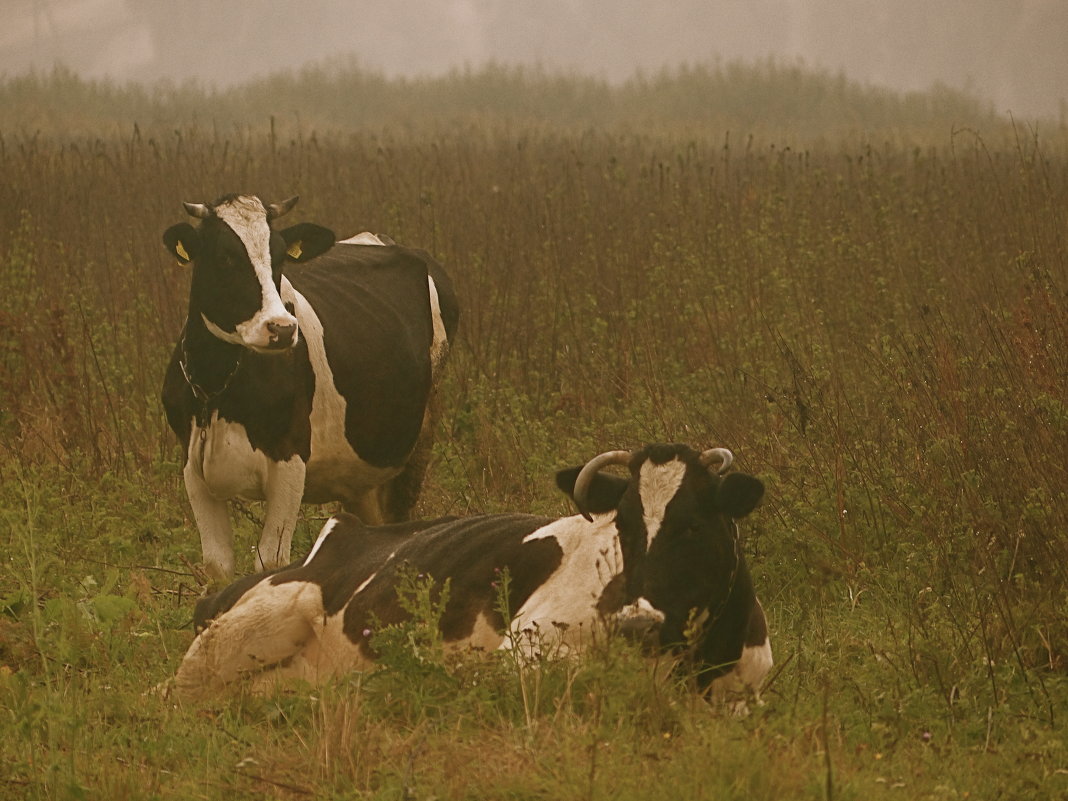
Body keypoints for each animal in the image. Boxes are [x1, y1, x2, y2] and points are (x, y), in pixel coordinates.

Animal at [160, 194, 457, 585]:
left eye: (280, 257)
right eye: (224, 257)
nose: (282, 328)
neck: (218, 387)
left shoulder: (290, 457)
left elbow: (271, 560)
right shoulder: (192, 465)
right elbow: (217, 565)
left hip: (421, 432)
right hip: (358, 472)